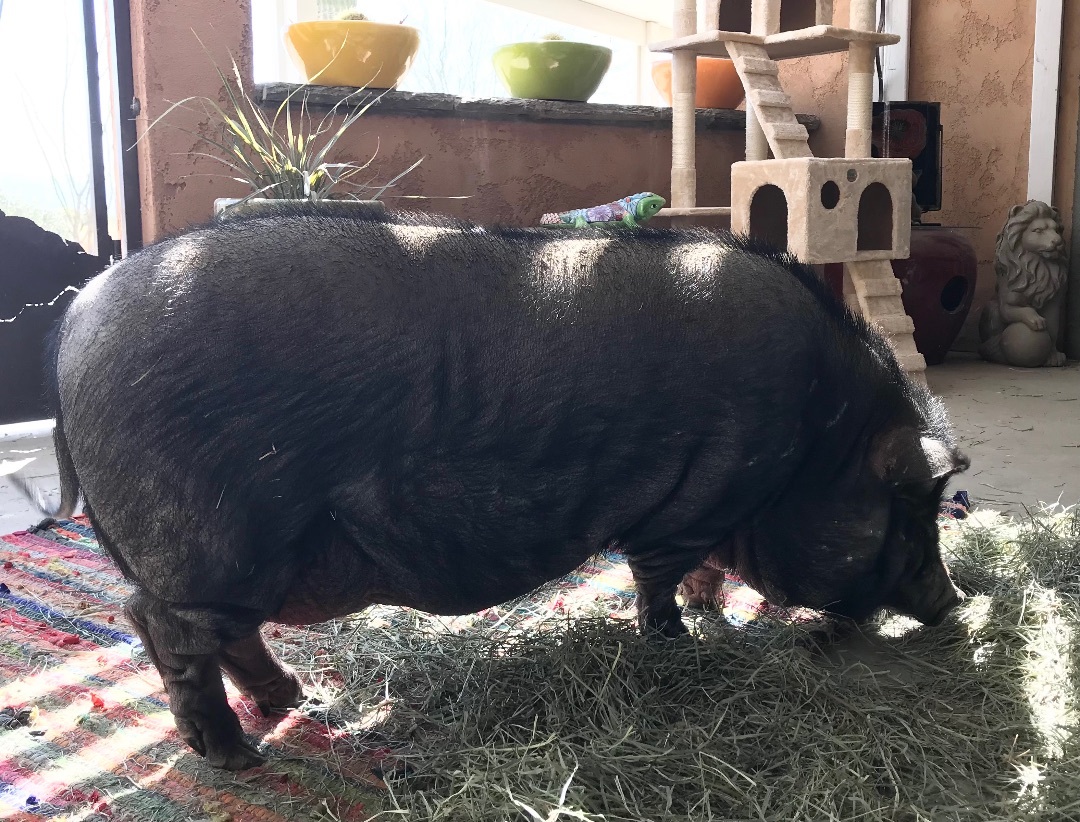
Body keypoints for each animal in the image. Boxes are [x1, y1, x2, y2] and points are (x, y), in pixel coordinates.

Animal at [20, 204, 968, 770]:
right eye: (910, 518)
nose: (954, 603)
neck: (817, 440)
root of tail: (76, 320)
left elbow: (694, 573)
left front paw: (709, 613)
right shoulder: (691, 504)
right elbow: (657, 579)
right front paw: (679, 642)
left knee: (221, 633)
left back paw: (294, 700)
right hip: (211, 539)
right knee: (160, 624)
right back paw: (237, 757)